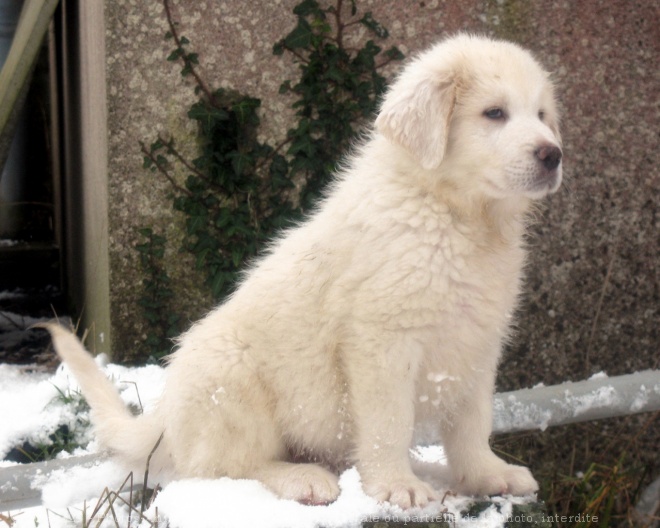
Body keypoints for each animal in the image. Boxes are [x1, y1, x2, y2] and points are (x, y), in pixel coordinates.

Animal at [46, 32, 564, 508]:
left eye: (541, 116)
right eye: (494, 113)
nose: (552, 153)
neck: (457, 216)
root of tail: (165, 418)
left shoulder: (478, 341)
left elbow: (472, 424)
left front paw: (487, 475)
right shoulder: (384, 341)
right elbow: (389, 424)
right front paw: (396, 486)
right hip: (230, 379)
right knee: (219, 469)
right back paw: (302, 478)